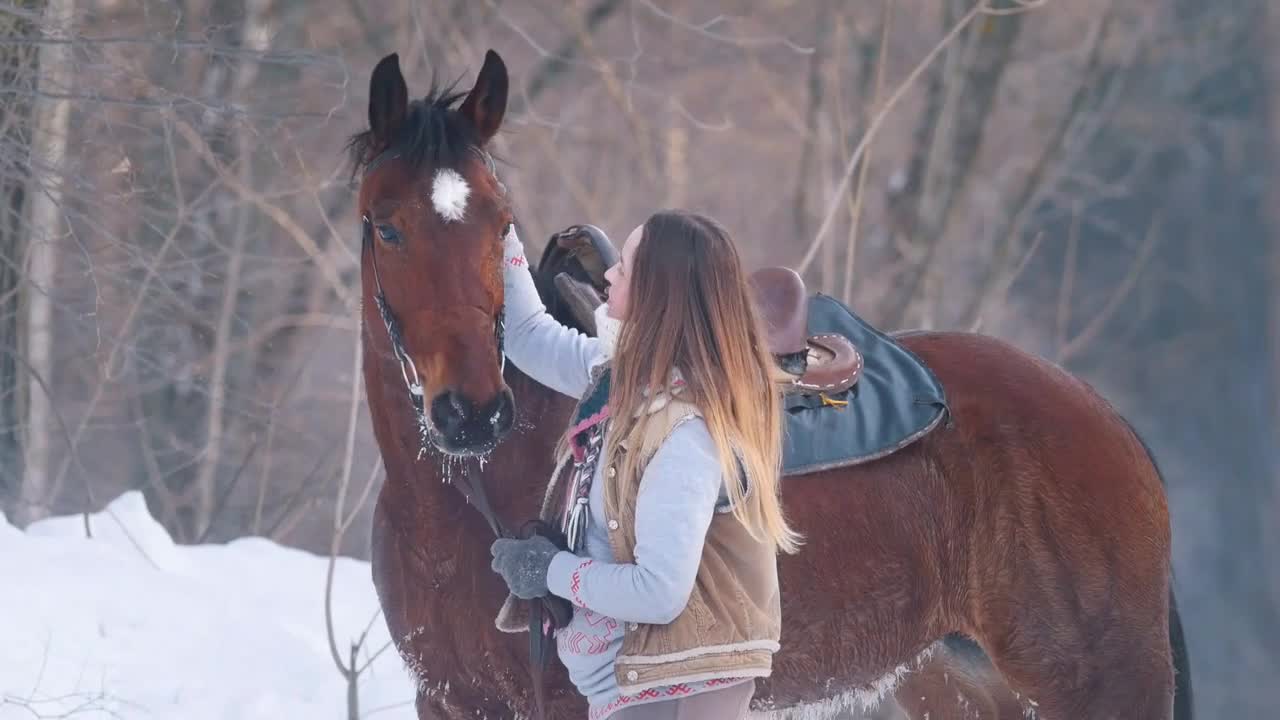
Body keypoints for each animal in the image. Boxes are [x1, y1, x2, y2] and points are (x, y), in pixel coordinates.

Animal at [348, 51, 1187, 717]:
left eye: (500, 225)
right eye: (386, 226)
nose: (473, 415)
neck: (465, 503)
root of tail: (1106, 421)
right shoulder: (450, 700)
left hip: (1104, 685)